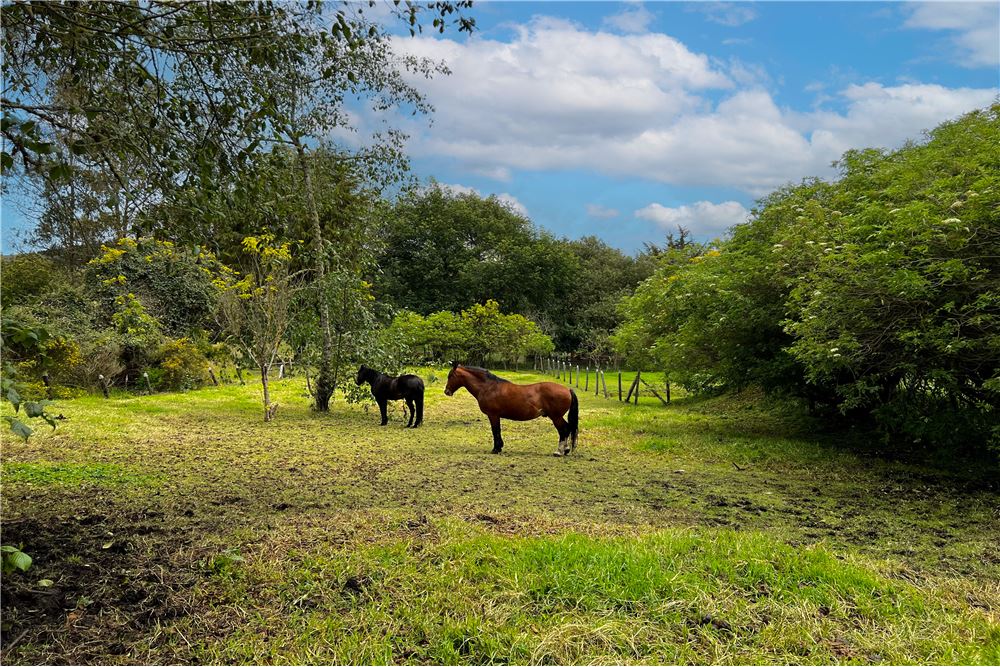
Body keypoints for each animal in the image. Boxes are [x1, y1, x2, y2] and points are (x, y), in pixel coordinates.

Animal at [446, 362, 580, 456]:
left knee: (563, 430)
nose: (446, 391)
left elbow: (495, 431)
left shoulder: (493, 415)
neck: (489, 387)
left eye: (450, 376)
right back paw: (566, 449)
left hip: (556, 417)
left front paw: (496, 448)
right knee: (567, 428)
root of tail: (567, 389)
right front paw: (499, 448)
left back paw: (559, 451)